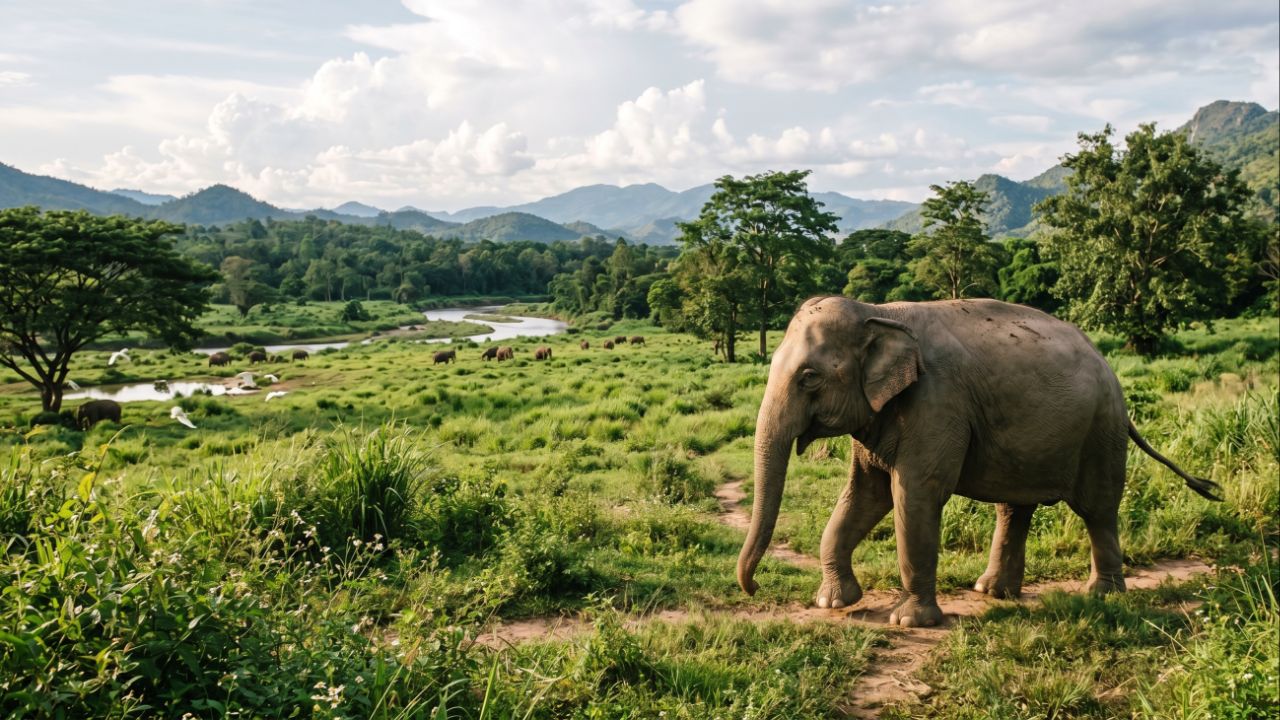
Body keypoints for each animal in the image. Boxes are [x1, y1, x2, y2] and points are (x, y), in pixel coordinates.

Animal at [737, 296, 1221, 628]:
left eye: (809, 377)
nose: (754, 587)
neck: (876, 311)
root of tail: (1110, 369)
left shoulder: (937, 403)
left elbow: (915, 495)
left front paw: (909, 621)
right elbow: (863, 495)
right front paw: (834, 603)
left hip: (1102, 429)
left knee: (1098, 508)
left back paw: (1102, 596)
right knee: (1015, 507)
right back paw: (993, 592)